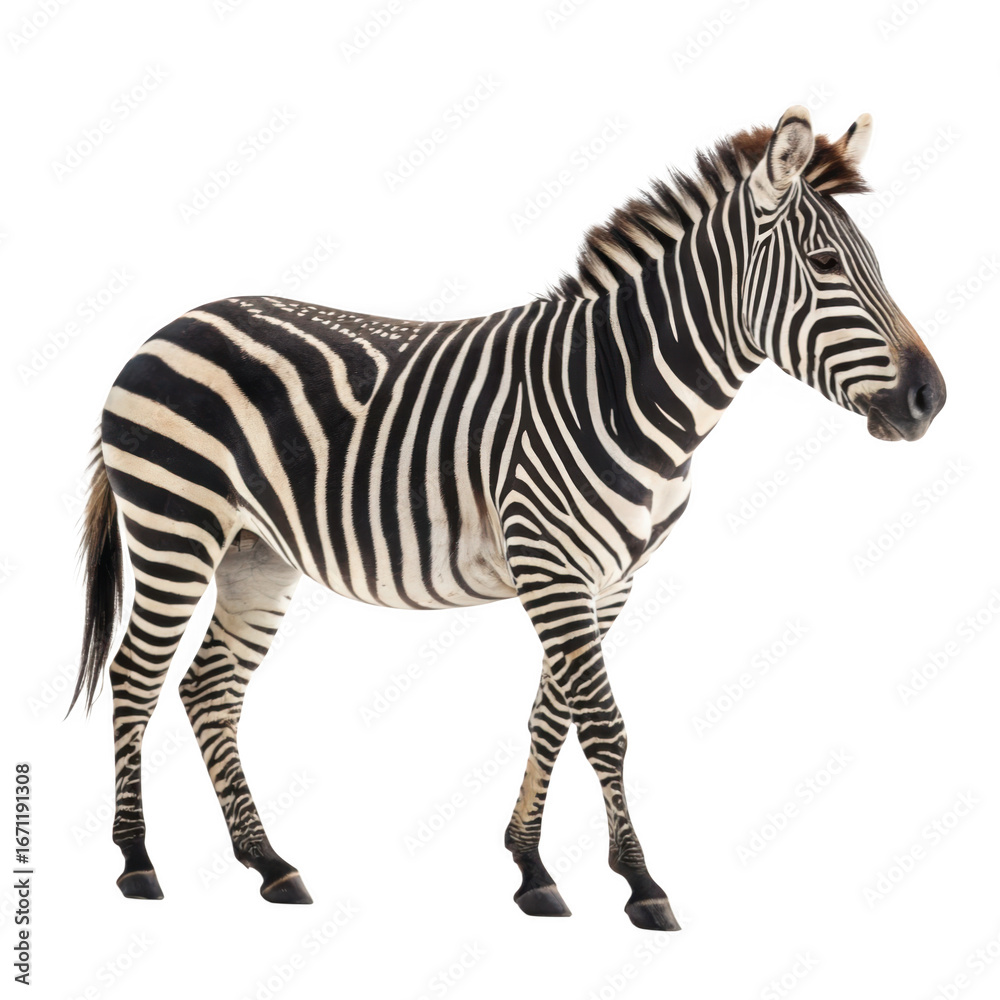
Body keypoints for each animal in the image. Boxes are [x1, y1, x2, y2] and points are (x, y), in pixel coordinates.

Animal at [70, 105, 945, 930]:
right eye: (826, 265)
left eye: (876, 265)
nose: (930, 398)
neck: (626, 387)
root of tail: (166, 328)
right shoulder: (552, 565)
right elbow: (603, 722)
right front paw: (641, 884)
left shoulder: (609, 579)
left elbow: (550, 714)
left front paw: (532, 869)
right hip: (176, 528)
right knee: (137, 675)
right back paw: (137, 861)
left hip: (256, 554)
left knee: (209, 688)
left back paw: (269, 863)